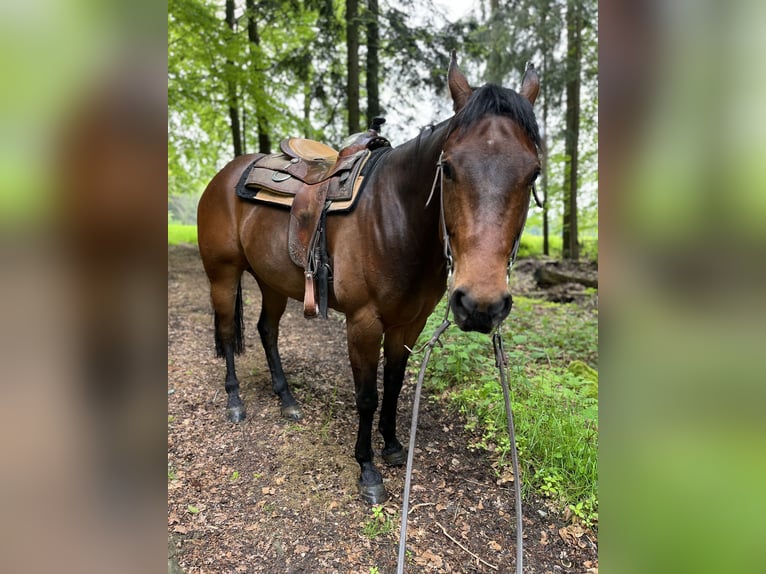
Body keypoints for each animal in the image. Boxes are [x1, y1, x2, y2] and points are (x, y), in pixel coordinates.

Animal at [198, 53, 544, 504]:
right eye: (447, 168)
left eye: (533, 173)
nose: (480, 305)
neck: (395, 218)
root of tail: (225, 174)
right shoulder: (363, 321)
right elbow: (367, 395)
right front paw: (367, 469)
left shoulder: (410, 322)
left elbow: (394, 383)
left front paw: (394, 446)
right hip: (222, 275)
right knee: (226, 333)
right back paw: (235, 402)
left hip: (272, 282)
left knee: (266, 331)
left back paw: (287, 399)